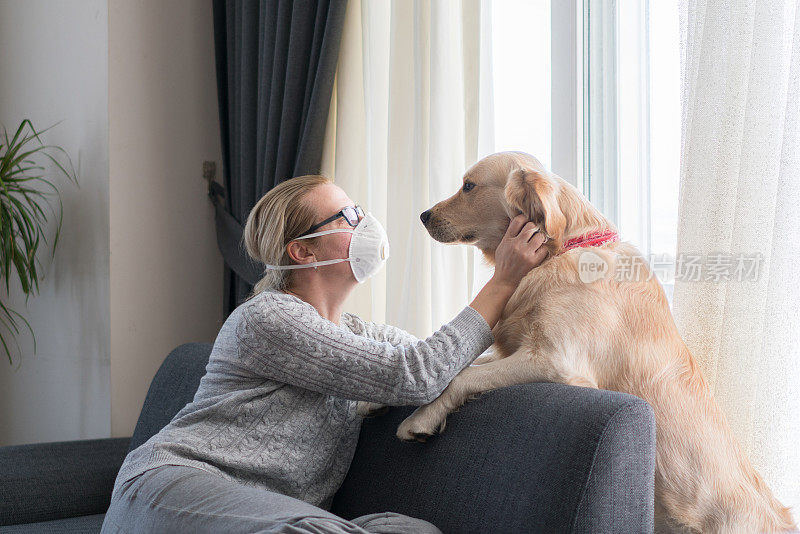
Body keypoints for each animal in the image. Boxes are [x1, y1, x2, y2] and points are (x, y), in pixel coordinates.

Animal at [392, 152, 792, 534]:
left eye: (469, 186)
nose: (424, 215)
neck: (562, 249)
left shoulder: (555, 360)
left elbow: (462, 377)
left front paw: (420, 419)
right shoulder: (516, 350)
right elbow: (466, 367)